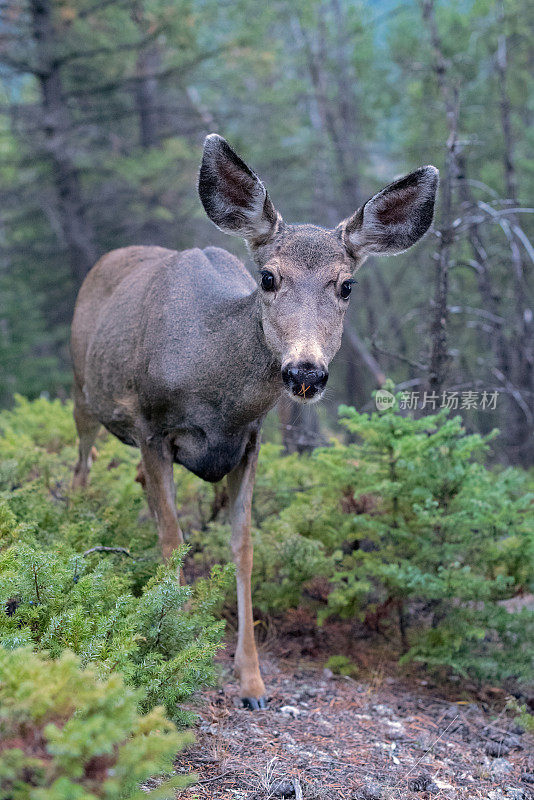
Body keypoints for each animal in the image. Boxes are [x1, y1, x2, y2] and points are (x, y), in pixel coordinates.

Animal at [71, 134, 440, 708]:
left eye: (347, 285)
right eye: (268, 277)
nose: (305, 371)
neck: (218, 396)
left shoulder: (251, 441)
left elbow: (242, 546)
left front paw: (252, 680)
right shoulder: (153, 426)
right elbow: (175, 541)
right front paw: (180, 642)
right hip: (82, 392)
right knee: (82, 470)